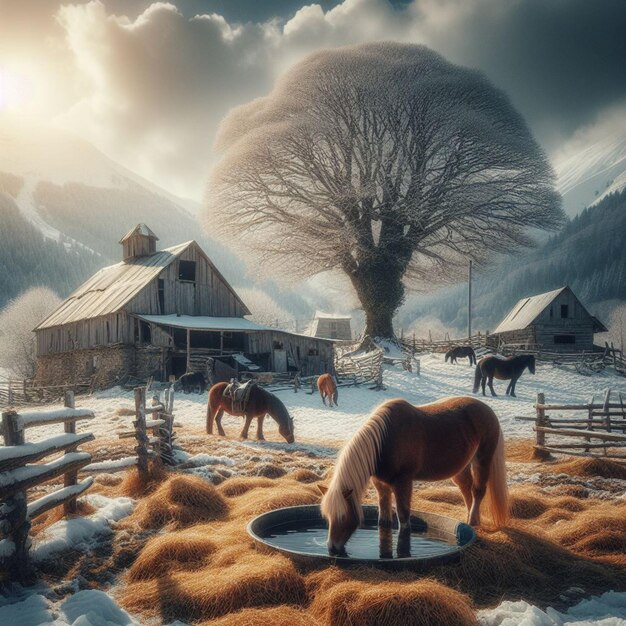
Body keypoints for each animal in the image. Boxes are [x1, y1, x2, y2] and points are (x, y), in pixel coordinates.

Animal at [316, 398, 508, 552]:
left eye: (343, 516)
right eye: (327, 516)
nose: (331, 547)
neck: (384, 441)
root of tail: (488, 410)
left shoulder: (403, 482)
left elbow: (403, 517)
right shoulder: (381, 485)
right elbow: (383, 520)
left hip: (483, 459)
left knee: (478, 490)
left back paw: (474, 521)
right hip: (461, 468)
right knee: (466, 489)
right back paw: (468, 519)